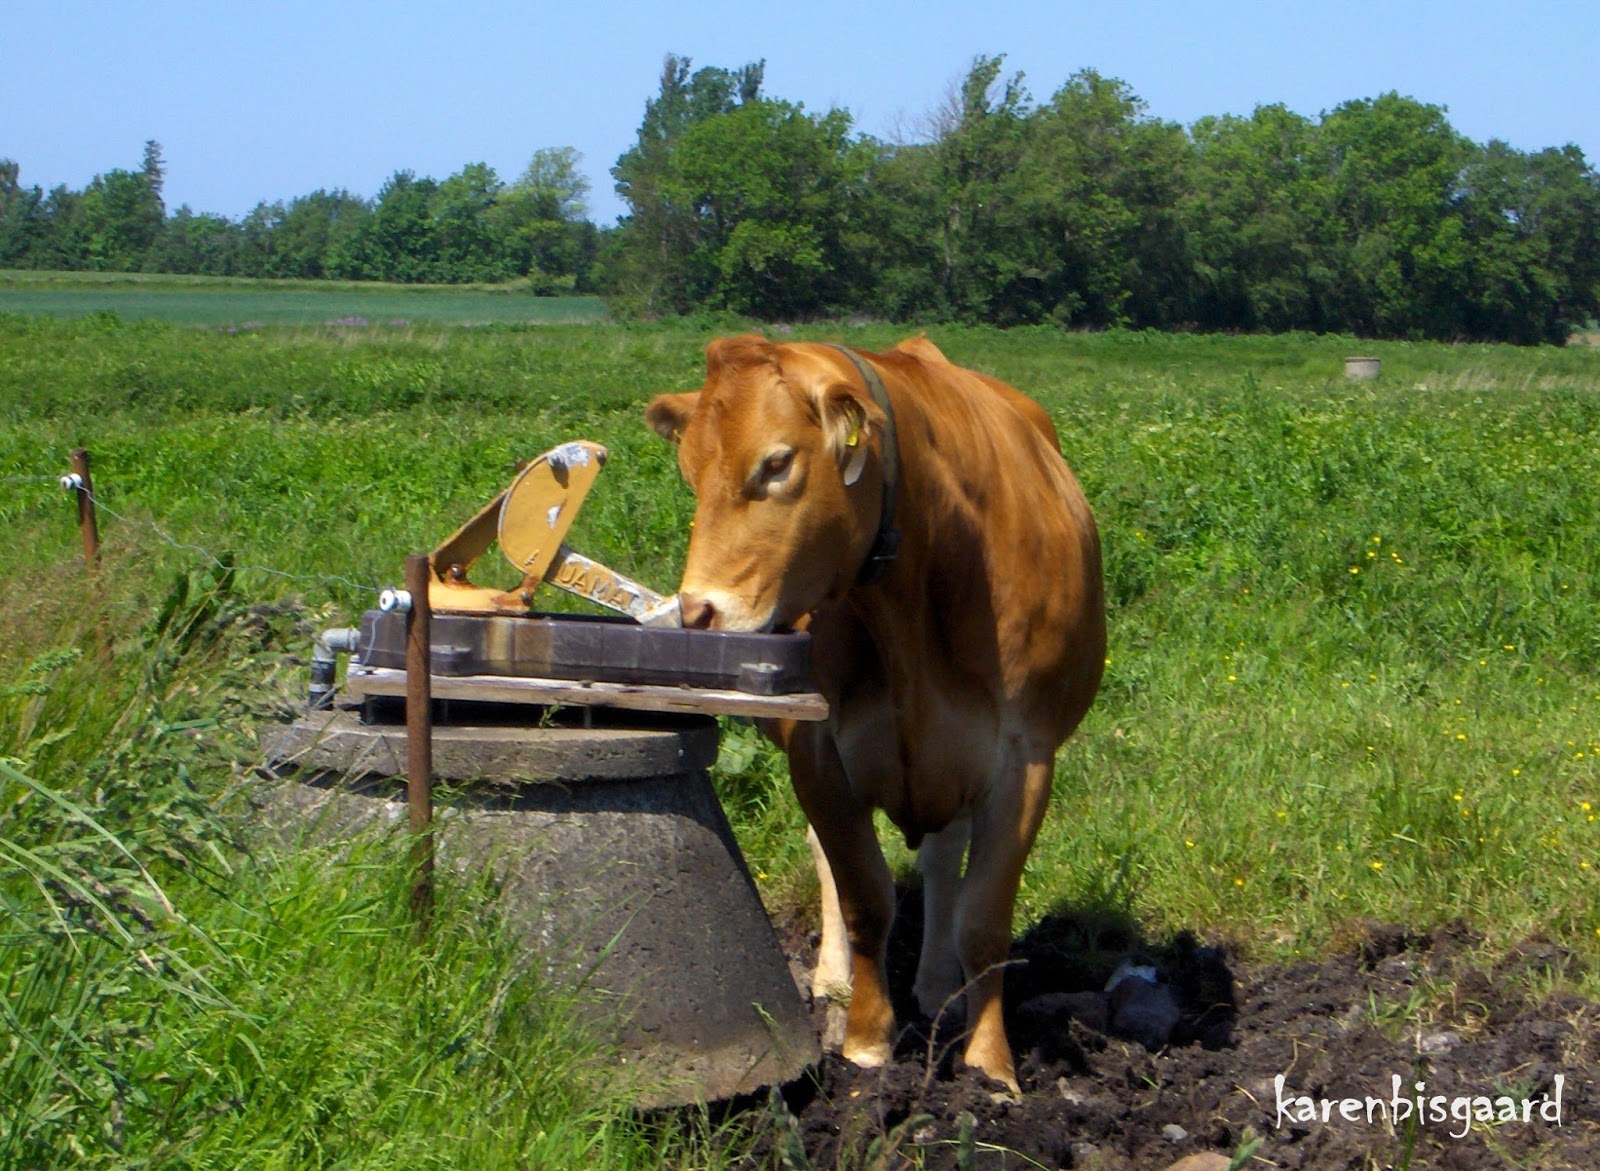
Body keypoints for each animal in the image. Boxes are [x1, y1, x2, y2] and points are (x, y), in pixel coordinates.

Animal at [645, 333, 1104, 1091]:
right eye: (690, 472)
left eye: (777, 462)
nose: (697, 613)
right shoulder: (818, 748)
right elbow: (864, 894)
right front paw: (866, 1042)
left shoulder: (1025, 758)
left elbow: (985, 918)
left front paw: (991, 1067)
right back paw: (835, 979)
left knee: (945, 861)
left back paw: (938, 987)